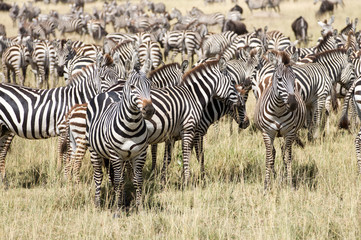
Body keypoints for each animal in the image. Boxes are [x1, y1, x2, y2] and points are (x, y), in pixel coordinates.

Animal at [0, 54, 117, 188]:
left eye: (117, 76)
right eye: (102, 78)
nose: (113, 93)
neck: (74, 98)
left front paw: (67, 178)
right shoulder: (64, 128)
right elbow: (66, 154)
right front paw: (67, 179)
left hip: (5, 128)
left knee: (2, 151)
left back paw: (3, 181)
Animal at [87, 60, 155, 210]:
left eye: (150, 85)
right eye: (132, 86)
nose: (149, 110)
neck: (131, 127)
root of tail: (107, 92)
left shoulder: (140, 154)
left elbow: (137, 180)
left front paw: (139, 207)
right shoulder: (116, 154)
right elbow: (118, 181)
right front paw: (118, 207)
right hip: (94, 151)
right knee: (99, 176)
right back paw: (97, 203)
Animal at [252, 51, 306, 190]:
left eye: (294, 79)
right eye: (280, 79)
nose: (293, 104)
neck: (278, 110)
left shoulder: (289, 132)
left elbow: (288, 158)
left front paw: (290, 183)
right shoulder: (267, 133)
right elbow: (269, 158)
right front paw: (266, 185)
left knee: (284, 151)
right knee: (274, 152)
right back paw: (274, 174)